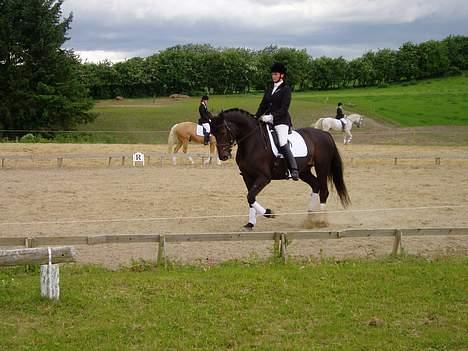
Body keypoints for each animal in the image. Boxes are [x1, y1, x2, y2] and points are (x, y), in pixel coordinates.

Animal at [210, 108, 350, 232]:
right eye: (213, 134)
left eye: (223, 132)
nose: (223, 156)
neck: (252, 142)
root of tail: (325, 134)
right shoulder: (247, 176)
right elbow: (250, 198)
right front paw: (250, 224)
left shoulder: (264, 177)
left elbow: (250, 196)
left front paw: (269, 213)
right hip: (304, 171)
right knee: (315, 185)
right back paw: (310, 216)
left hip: (322, 167)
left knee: (324, 190)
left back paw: (320, 220)